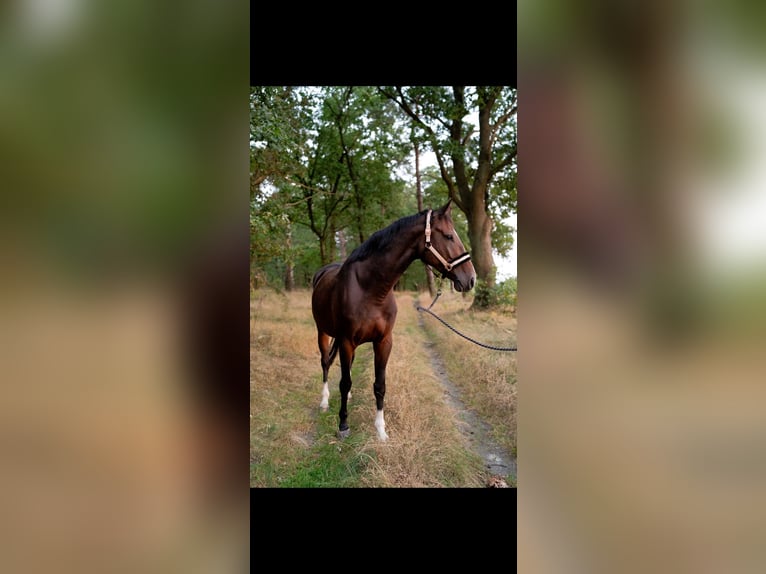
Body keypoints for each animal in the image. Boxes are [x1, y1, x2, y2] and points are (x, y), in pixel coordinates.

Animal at [310, 200, 476, 444]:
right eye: (448, 236)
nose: (470, 279)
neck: (370, 290)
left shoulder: (383, 341)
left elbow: (379, 385)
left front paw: (381, 430)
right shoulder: (347, 340)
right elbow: (345, 381)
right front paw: (343, 425)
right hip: (323, 332)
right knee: (325, 363)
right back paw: (324, 401)